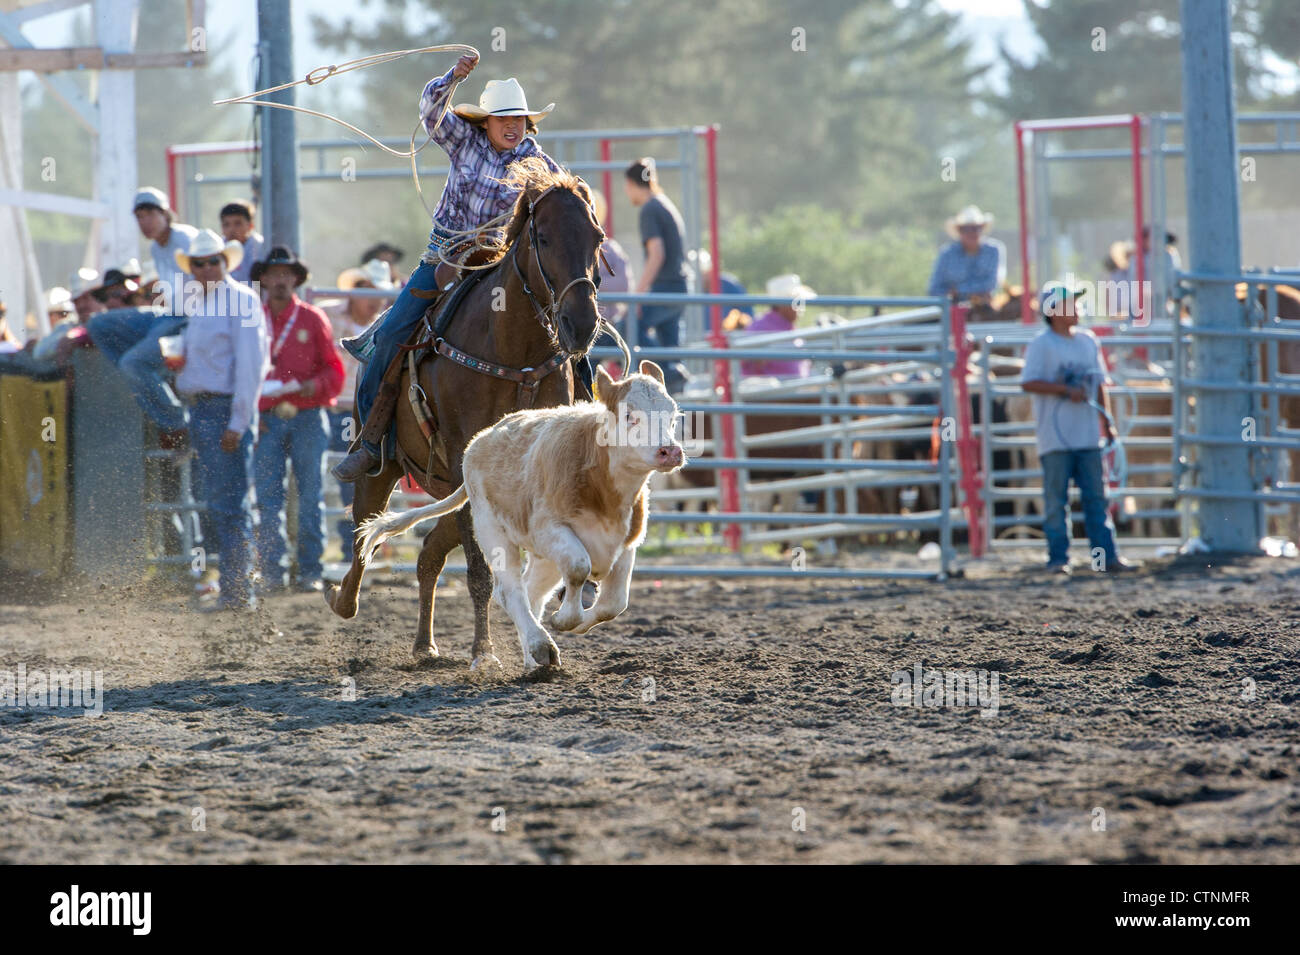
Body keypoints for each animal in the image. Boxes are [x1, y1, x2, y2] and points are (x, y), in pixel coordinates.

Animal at [325, 160, 608, 670]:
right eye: (544, 238)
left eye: (596, 237)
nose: (581, 325)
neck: (511, 347)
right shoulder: (462, 452)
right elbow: (480, 568)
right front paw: (484, 652)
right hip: (388, 467)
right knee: (363, 528)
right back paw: (344, 600)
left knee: (428, 552)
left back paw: (424, 643)